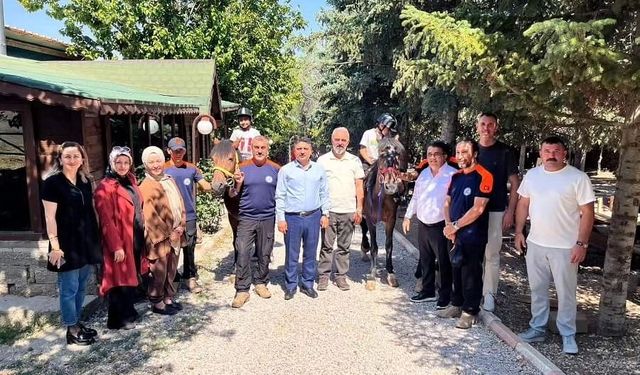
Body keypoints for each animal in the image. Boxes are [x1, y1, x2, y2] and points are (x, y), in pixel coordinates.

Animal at [362, 137, 408, 290]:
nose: (391, 187)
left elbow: (389, 246)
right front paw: (372, 276)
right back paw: (364, 248)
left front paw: (390, 273)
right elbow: (374, 247)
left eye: (397, 154)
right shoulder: (370, 220)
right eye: (382, 155)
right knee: (363, 230)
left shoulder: (391, 220)